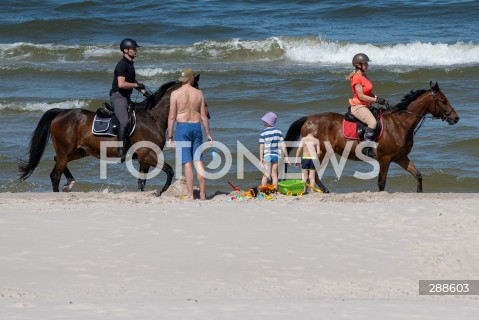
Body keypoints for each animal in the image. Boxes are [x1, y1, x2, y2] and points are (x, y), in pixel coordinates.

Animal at [18, 75, 206, 194]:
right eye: (197, 92)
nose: (207, 113)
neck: (153, 117)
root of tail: (61, 112)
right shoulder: (147, 155)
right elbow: (169, 171)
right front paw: (160, 192)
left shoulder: (144, 159)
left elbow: (142, 182)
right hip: (67, 151)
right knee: (55, 174)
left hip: (78, 151)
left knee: (57, 162)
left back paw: (69, 184)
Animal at [284, 82, 462, 192]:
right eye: (443, 101)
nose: (456, 118)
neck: (400, 124)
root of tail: (308, 119)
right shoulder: (385, 159)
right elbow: (381, 183)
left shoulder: (401, 157)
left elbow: (417, 175)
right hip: (321, 151)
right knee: (312, 171)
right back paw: (324, 190)